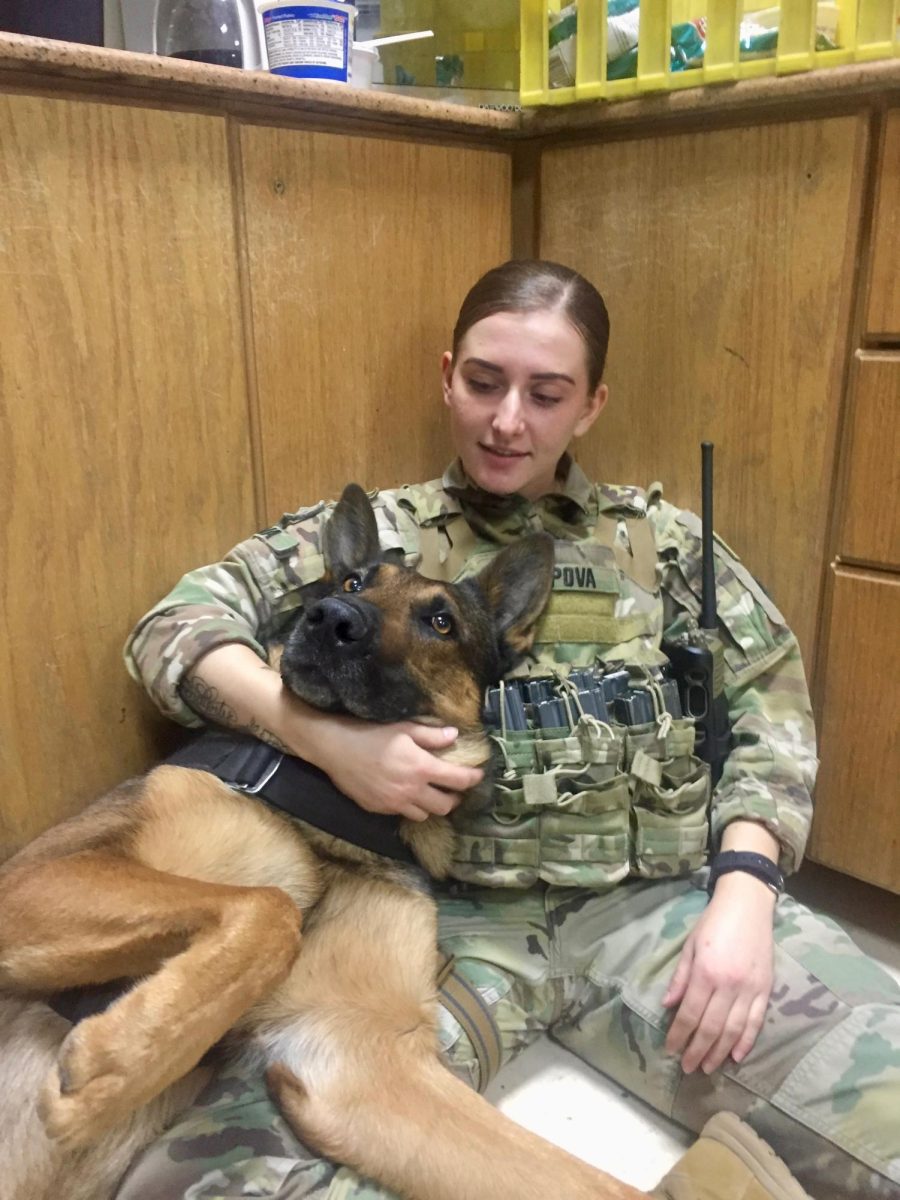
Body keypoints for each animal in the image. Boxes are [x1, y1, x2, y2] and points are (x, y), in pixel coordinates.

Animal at [0, 482, 648, 1195]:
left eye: (441, 621)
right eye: (355, 581)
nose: (329, 615)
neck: (330, 814)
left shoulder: (357, 1058)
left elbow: (589, 1182)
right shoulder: (35, 877)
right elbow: (270, 908)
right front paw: (114, 1066)